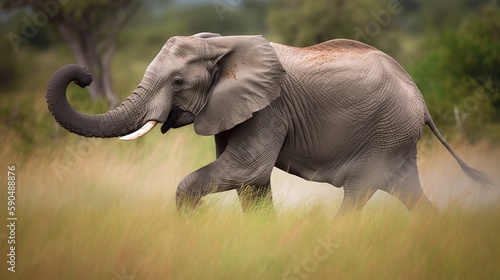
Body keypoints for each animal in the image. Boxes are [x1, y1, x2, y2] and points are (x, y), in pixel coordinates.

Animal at [47, 31, 492, 213]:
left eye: (177, 82)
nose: (84, 76)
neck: (221, 45)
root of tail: (422, 101)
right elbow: (252, 182)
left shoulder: (268, 109)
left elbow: (247, 169)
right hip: (394, 138)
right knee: (407, 193)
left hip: (387, 131)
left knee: (358, 193)